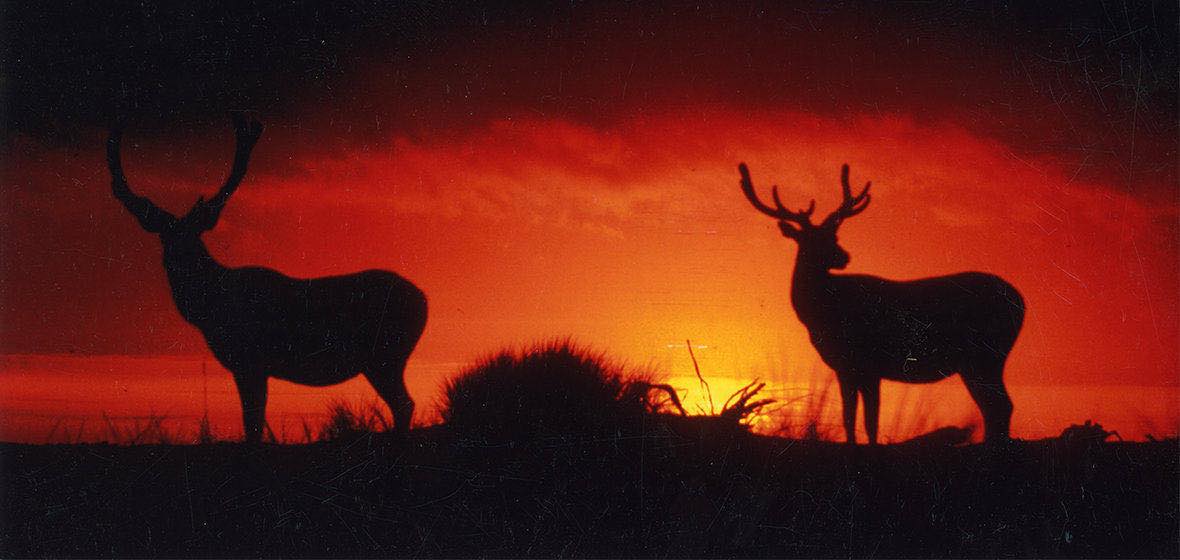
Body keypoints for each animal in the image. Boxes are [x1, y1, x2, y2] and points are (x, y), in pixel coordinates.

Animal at [107, 116, 429, 445]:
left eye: (195, 235)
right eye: (164, 237)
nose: (179, 261)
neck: (211, 311)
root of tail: (424, 300)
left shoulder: (251, 361)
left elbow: (252, 424)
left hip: (385, 354)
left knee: (404, 403)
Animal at [736, 163, 1024, 448]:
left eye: (834, 235)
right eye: (810, 240)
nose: (844, 256)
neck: (822, 315)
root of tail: (1021, 302)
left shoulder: (869, 362)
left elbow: (870, 420)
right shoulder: (846, 367)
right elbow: (849, 417)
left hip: (986, 355)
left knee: (1000, 406)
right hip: (981, 360)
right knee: (996, 407)